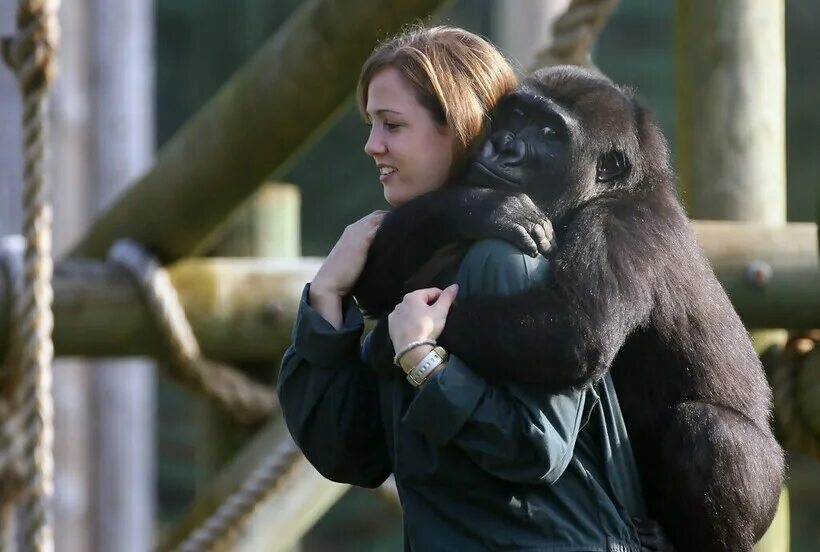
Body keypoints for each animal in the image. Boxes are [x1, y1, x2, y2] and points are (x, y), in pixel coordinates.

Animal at [354, 66, 788, 552]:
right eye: (517, 114)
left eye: (549, 133)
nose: (504, 146)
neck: (615, 188)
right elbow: (375, 277)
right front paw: (480, 207)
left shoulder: (619, 226)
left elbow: (573, 333)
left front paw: (389, 337)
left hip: (766, 490)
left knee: (713, 431)